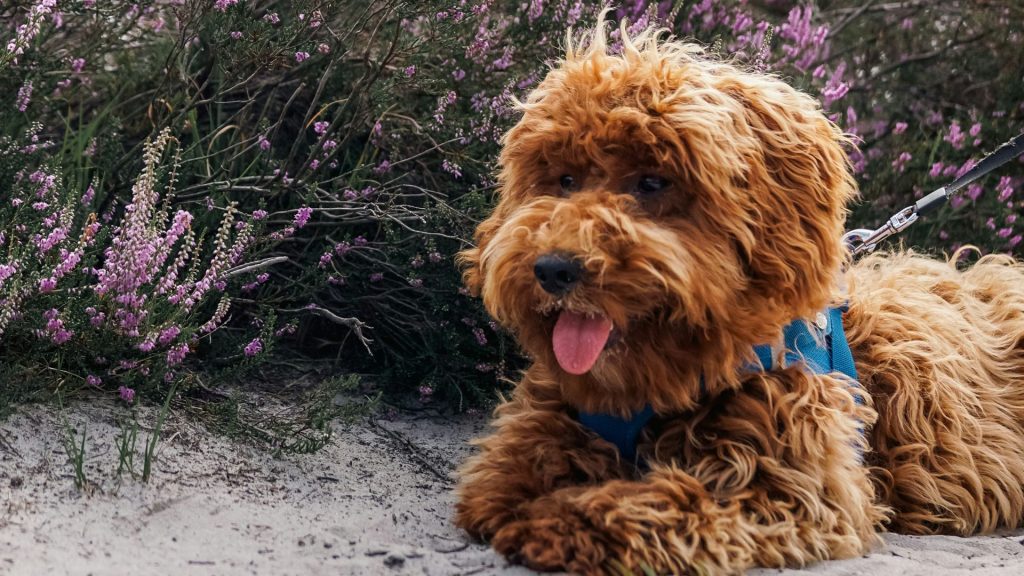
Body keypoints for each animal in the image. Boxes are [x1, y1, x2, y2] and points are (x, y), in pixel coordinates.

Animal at [452, 17, 1024, 573]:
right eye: (564, 179)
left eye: (653, 182)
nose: (554, 268)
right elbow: (506, 473)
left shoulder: (795, 482)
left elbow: (681, 498)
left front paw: (568, 520)